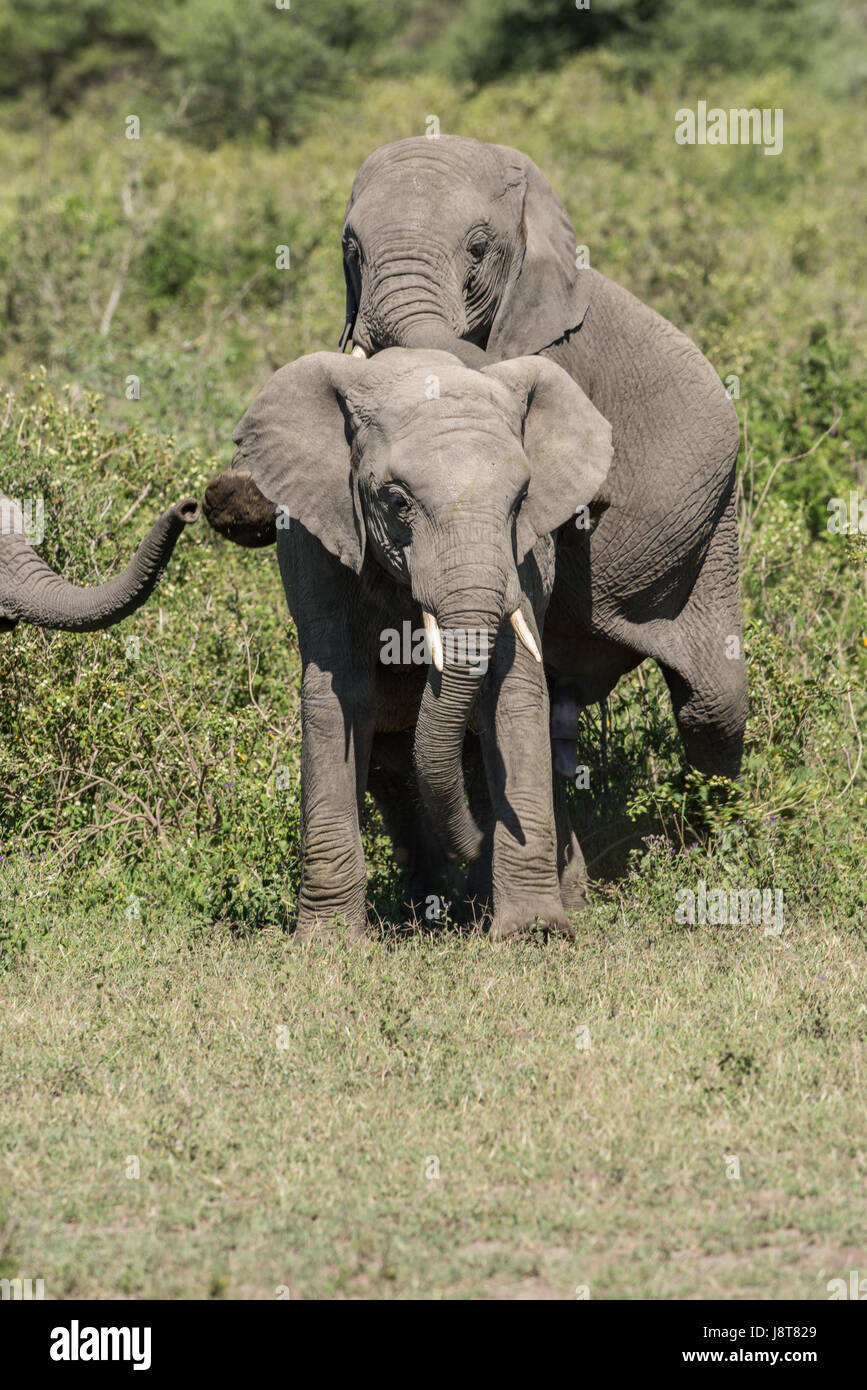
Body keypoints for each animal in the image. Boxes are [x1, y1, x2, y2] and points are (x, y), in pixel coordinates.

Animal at [207, 344, 614, 945]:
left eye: (520, 501)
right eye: (397, 502)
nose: (479, 838)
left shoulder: (525, 560)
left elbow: (515, 696)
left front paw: (534, 933)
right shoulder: (320, 546)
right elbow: (337, 699)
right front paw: (327, 942)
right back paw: (437, 908)